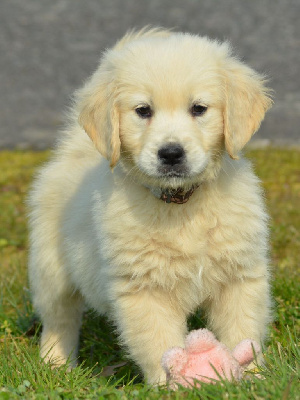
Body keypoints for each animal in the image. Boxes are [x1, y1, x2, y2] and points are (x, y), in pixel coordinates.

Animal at [27, 28, 272, 384]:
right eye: (143, 111)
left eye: (199, 109)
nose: (170, 154)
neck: (180, 203)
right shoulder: (144, 289)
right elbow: (160, 343)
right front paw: (173, 384)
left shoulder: (239, 275)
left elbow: (244, 332)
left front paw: (252, 379)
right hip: (51, 266)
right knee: (60, 319)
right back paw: (55, 364)